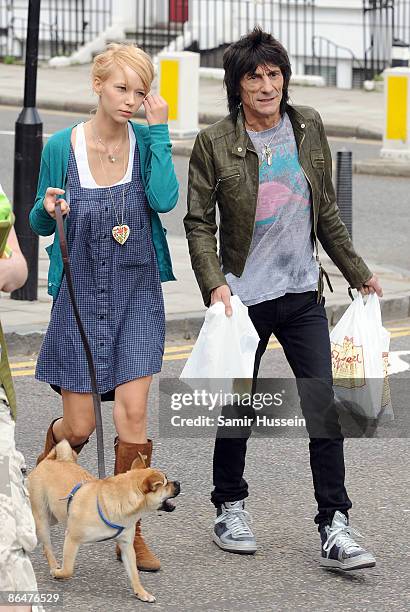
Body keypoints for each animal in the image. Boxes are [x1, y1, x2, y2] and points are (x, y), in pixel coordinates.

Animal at [26, 440, 179, 604]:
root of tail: (49, 460)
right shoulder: (72, 539)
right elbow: (68, 569)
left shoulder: (126, 546)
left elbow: (134, 574)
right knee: (47, 546)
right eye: (165, 483)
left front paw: (141, 592)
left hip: (53, 517)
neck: (119, 501)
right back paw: (52, 564)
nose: (178, 482)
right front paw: (58, 572)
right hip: (42, 518)